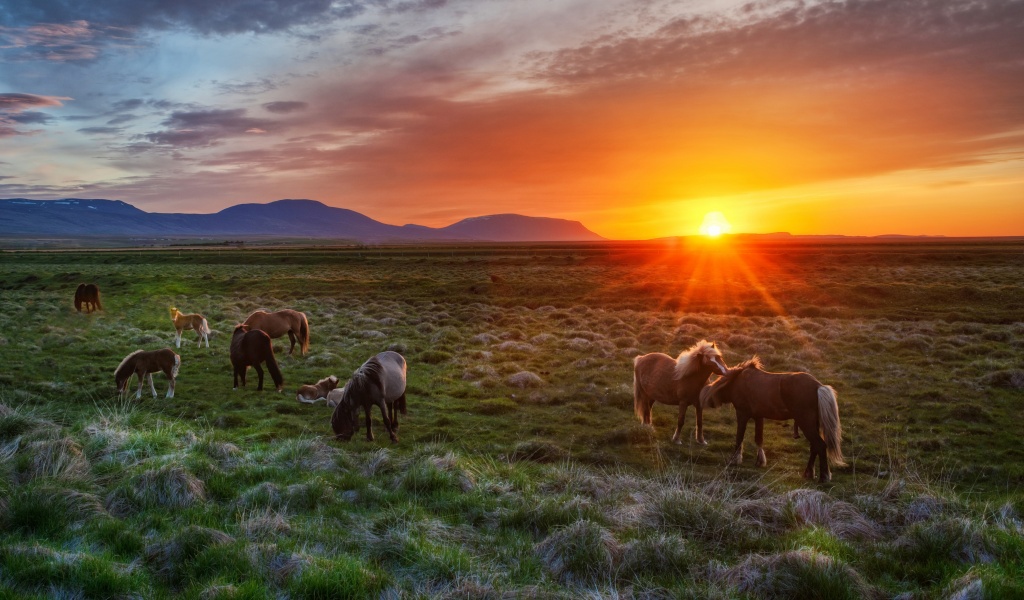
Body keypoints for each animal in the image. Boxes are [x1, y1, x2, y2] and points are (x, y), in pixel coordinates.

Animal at [700, 354, 843, 481]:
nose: (710, 402)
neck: (737, 382)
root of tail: (818, 387)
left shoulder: (742, 414)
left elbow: (739, 438)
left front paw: (735, 460)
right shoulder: (758, 416)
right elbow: (759, 439)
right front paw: (760, 461)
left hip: (806, 422)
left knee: (820, 445)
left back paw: (824, 477)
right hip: (813, 424)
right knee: (814, 446)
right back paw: (808, 473)